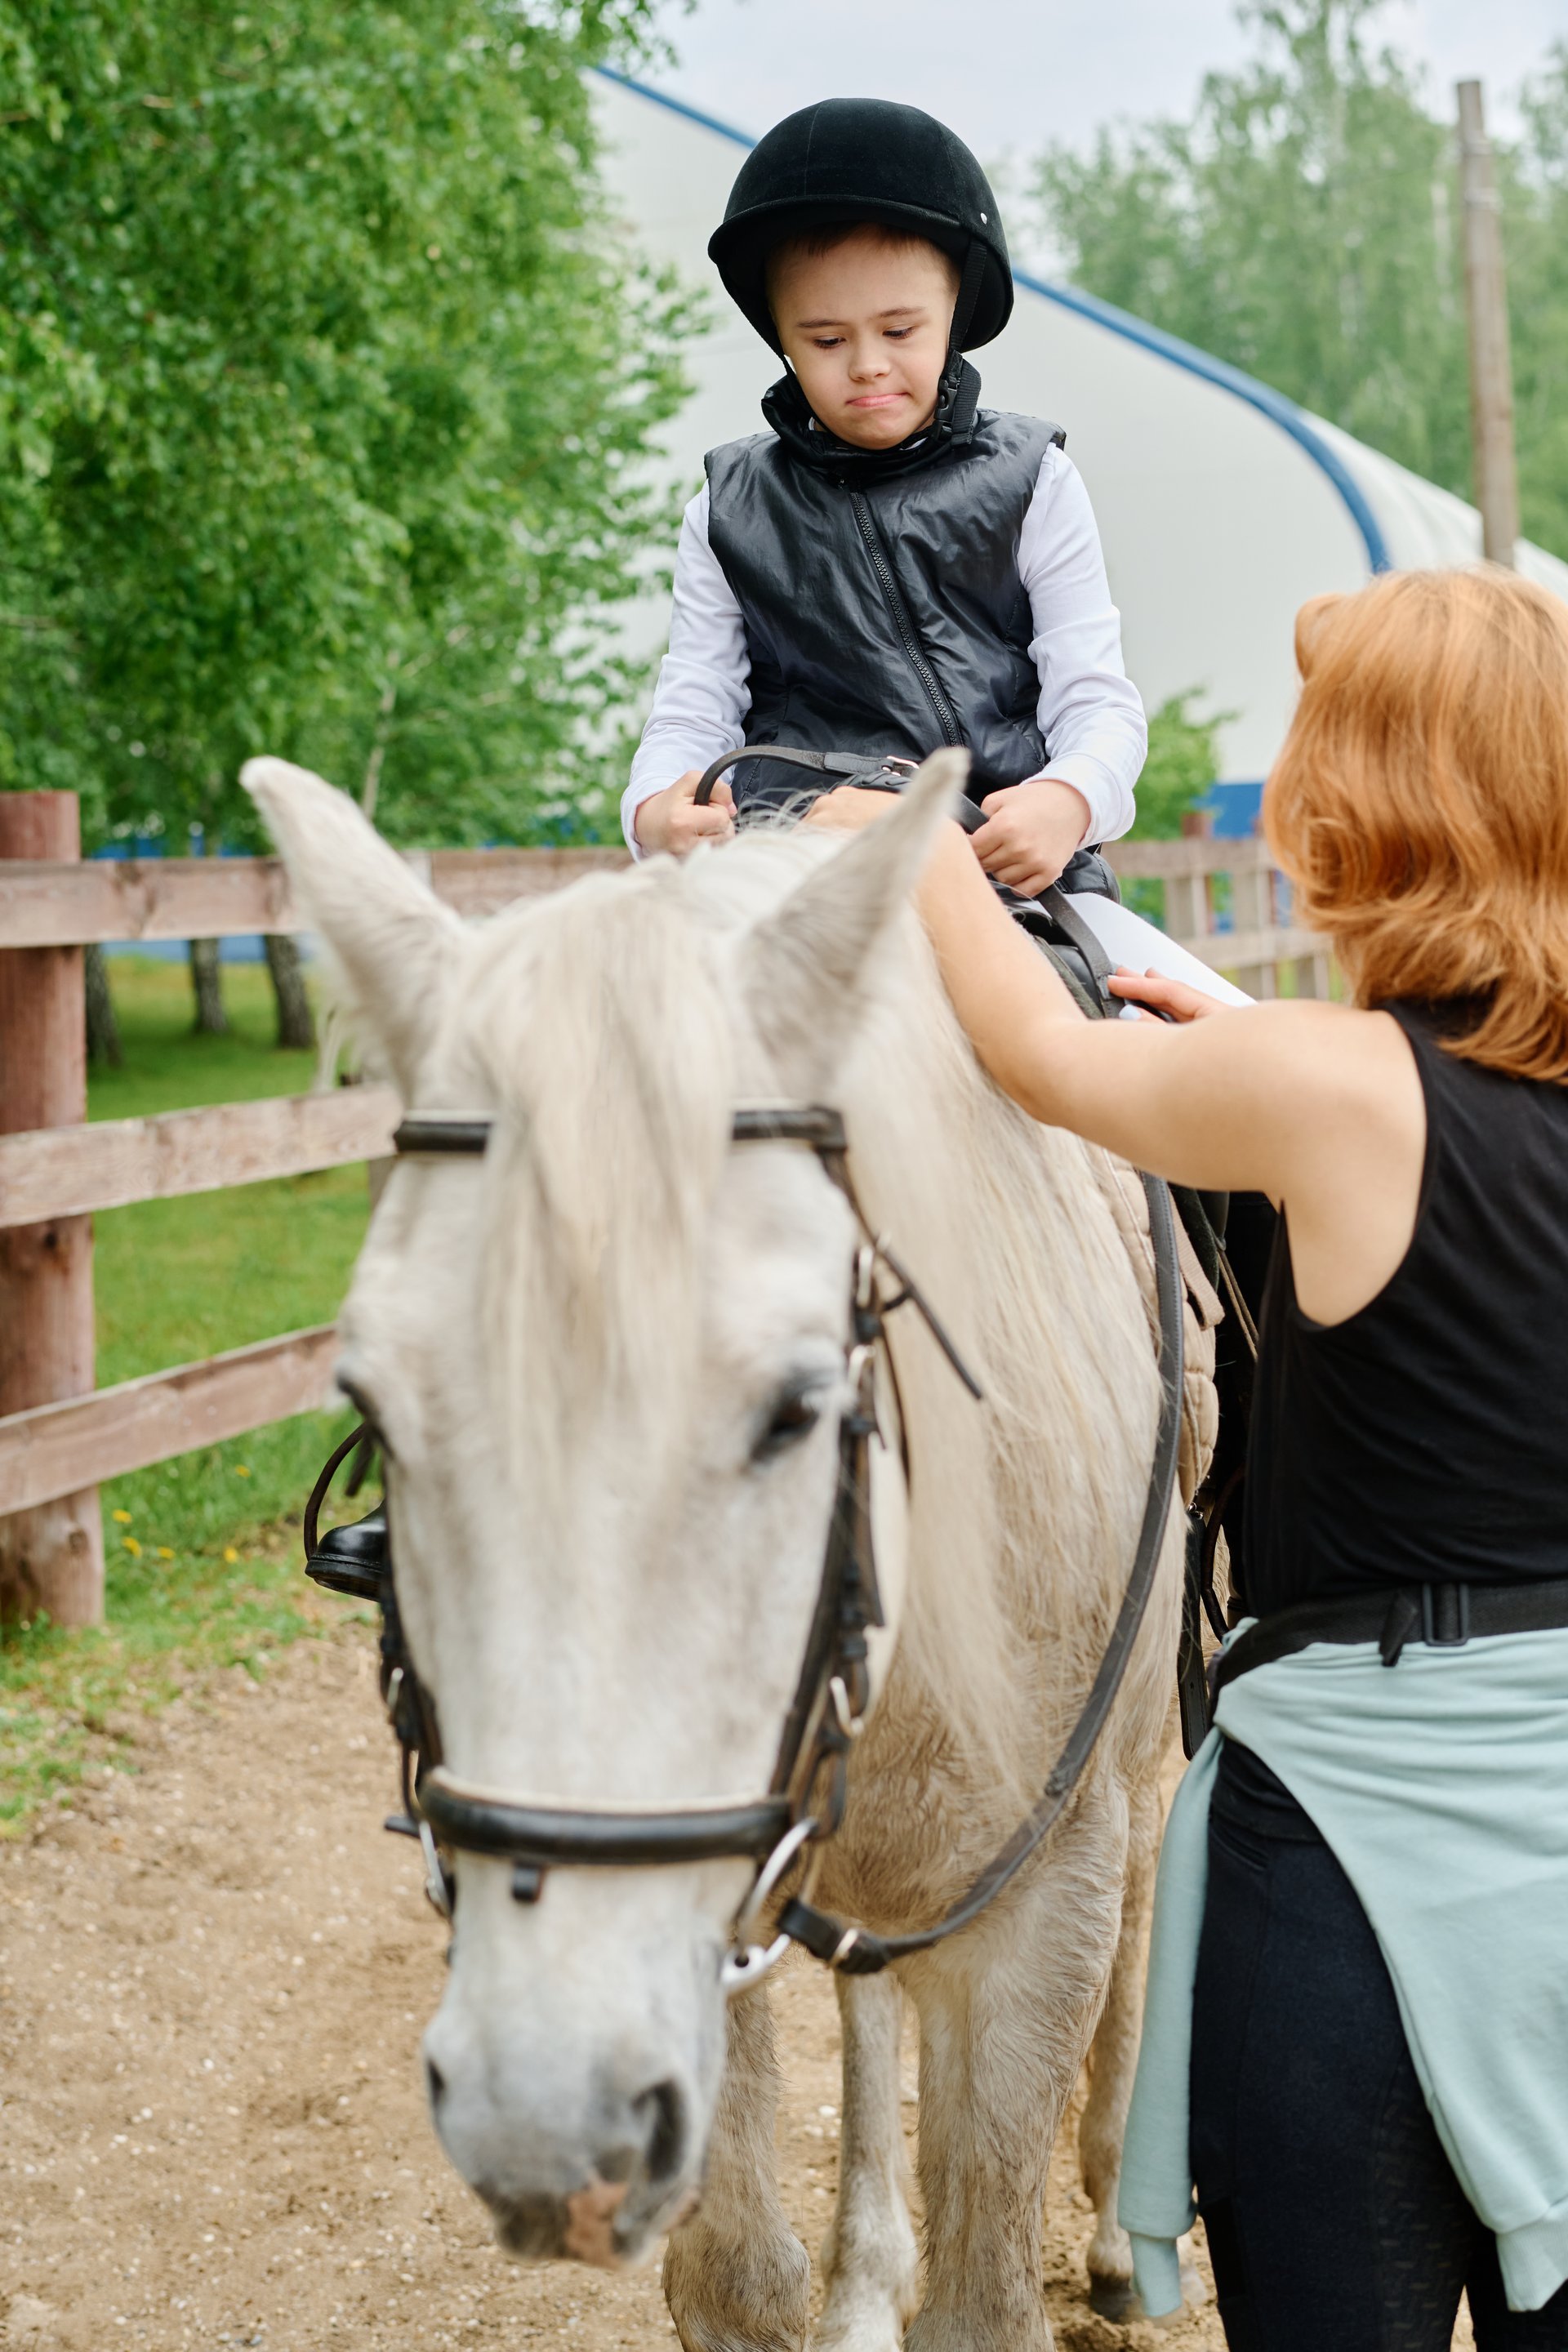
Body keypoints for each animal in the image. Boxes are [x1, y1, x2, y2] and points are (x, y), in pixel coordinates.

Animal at [245, 748, 1203, 2352]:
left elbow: (988, 2284)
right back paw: (869, 2268)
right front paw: (844, 2279)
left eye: (798, 1405)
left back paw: (1126, 2231)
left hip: (1125, 1764)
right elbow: (741, 2276)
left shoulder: (1040, 1905)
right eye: (371, 1405)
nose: (539, 2115)